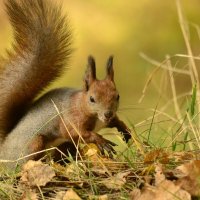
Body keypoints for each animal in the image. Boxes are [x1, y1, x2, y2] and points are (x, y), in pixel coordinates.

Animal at [0, 0, 131, 170]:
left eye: (117, 96)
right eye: (92, 99)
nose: (108, 114)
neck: (82, 105)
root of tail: (3, 150)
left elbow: (117, 122)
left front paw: (126, 131)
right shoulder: (70, 120)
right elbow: (79, 133)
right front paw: (102, 141)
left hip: (64, 146)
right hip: (33, 144)